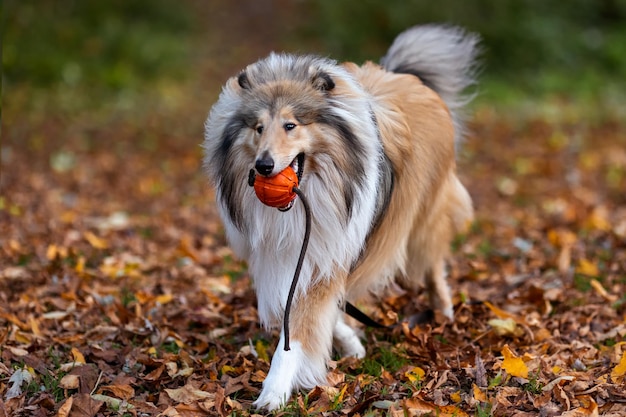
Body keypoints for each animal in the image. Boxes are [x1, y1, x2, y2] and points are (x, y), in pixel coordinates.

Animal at [202, 24, 476, 408]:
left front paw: (273, 391)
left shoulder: (324, 251)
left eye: (290, 125)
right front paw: (350, 341)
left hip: (425, 220)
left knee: (433, 265)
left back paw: (445, 313)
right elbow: (315, 312)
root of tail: (405, 76)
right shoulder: (286, 257)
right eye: (258, 127)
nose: (264, 166)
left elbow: (298, 330)